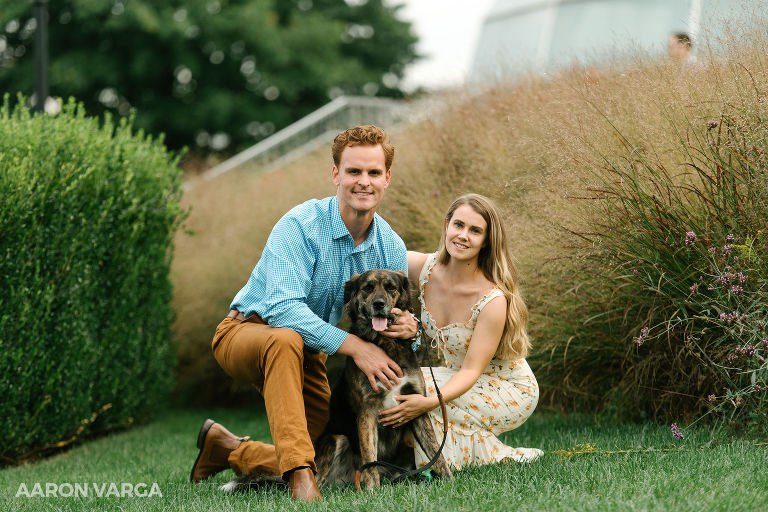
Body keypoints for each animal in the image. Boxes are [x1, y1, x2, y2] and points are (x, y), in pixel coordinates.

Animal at [219, 270, 450, 494]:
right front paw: (373, 491)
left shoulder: (415, 405)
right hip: (336, 439)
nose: (379, 304)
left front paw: (448, 481)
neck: (385, 343)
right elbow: (370, 457)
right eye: (368, 288)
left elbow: (435, 449)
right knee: (324, 476)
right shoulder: (367, 412)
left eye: (391, 288)